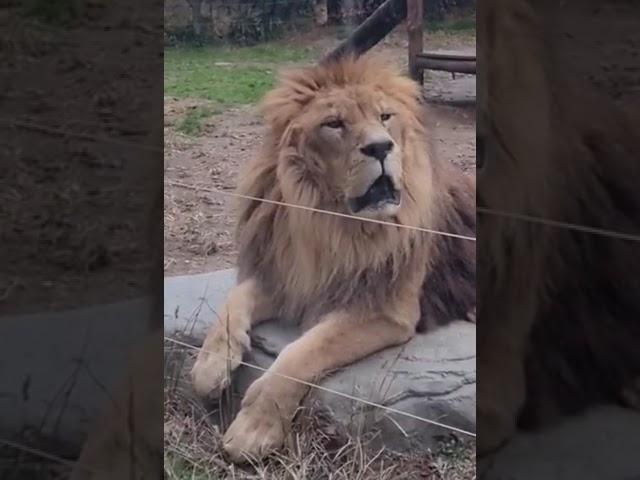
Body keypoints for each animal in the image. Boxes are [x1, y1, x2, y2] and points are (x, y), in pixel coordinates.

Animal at [190, 54, 476, 464]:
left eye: (385, 117)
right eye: (334, 124)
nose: (381, 148)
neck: (330, 223)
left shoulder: (385, 310)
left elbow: (301, 352)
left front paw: (253, 430)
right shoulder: (291, 275)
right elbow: (232, 302)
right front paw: (209, 368)